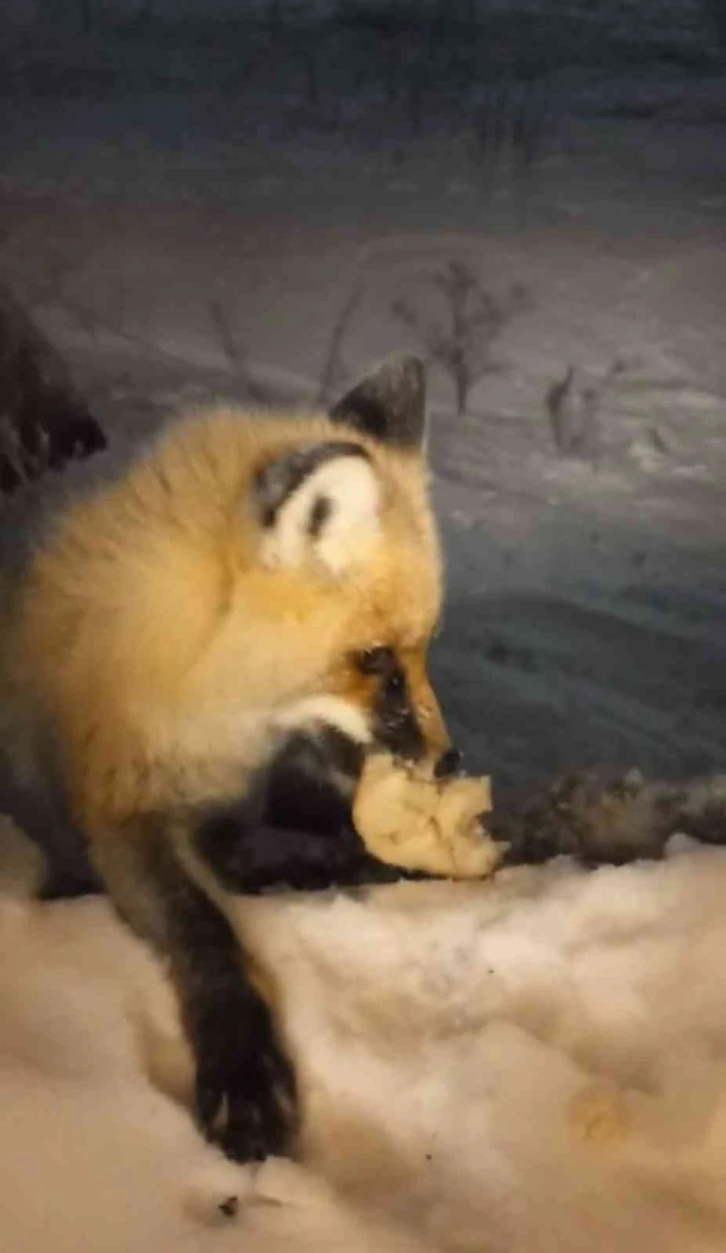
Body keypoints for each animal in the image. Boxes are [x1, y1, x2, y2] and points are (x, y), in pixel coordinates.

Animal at [0, 353, 466, 1162]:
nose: (447, 760)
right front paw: (243, 1068)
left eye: (422, 650)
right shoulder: (119, 810)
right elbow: (207, 934)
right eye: (375, 660)